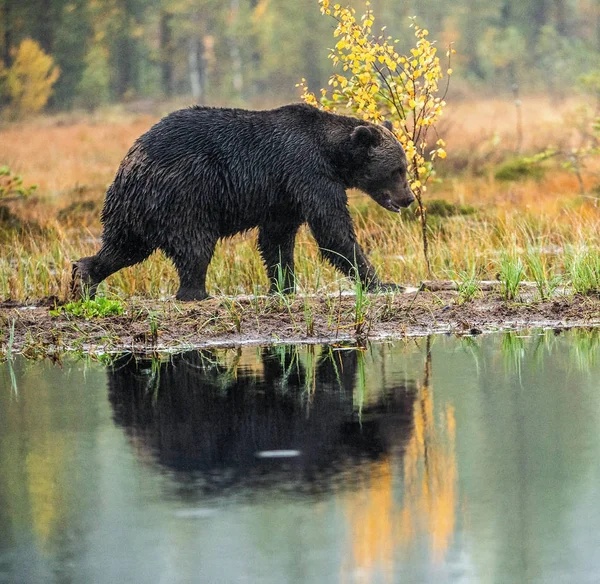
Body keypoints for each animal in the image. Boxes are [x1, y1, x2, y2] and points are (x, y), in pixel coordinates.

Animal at [72, 103, 412, 302]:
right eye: (397, 169)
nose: (408, 198)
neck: (332, 154)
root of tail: (130, 163)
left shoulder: (284, 195)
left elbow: (276, 240)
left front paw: (283, 286)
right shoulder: (307, 173)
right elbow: (333, 231)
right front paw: (383, 283)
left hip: (132, 210)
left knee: (124, 248)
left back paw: (84, 276)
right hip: (184, 194)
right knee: (195, 246)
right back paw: (196, 293)